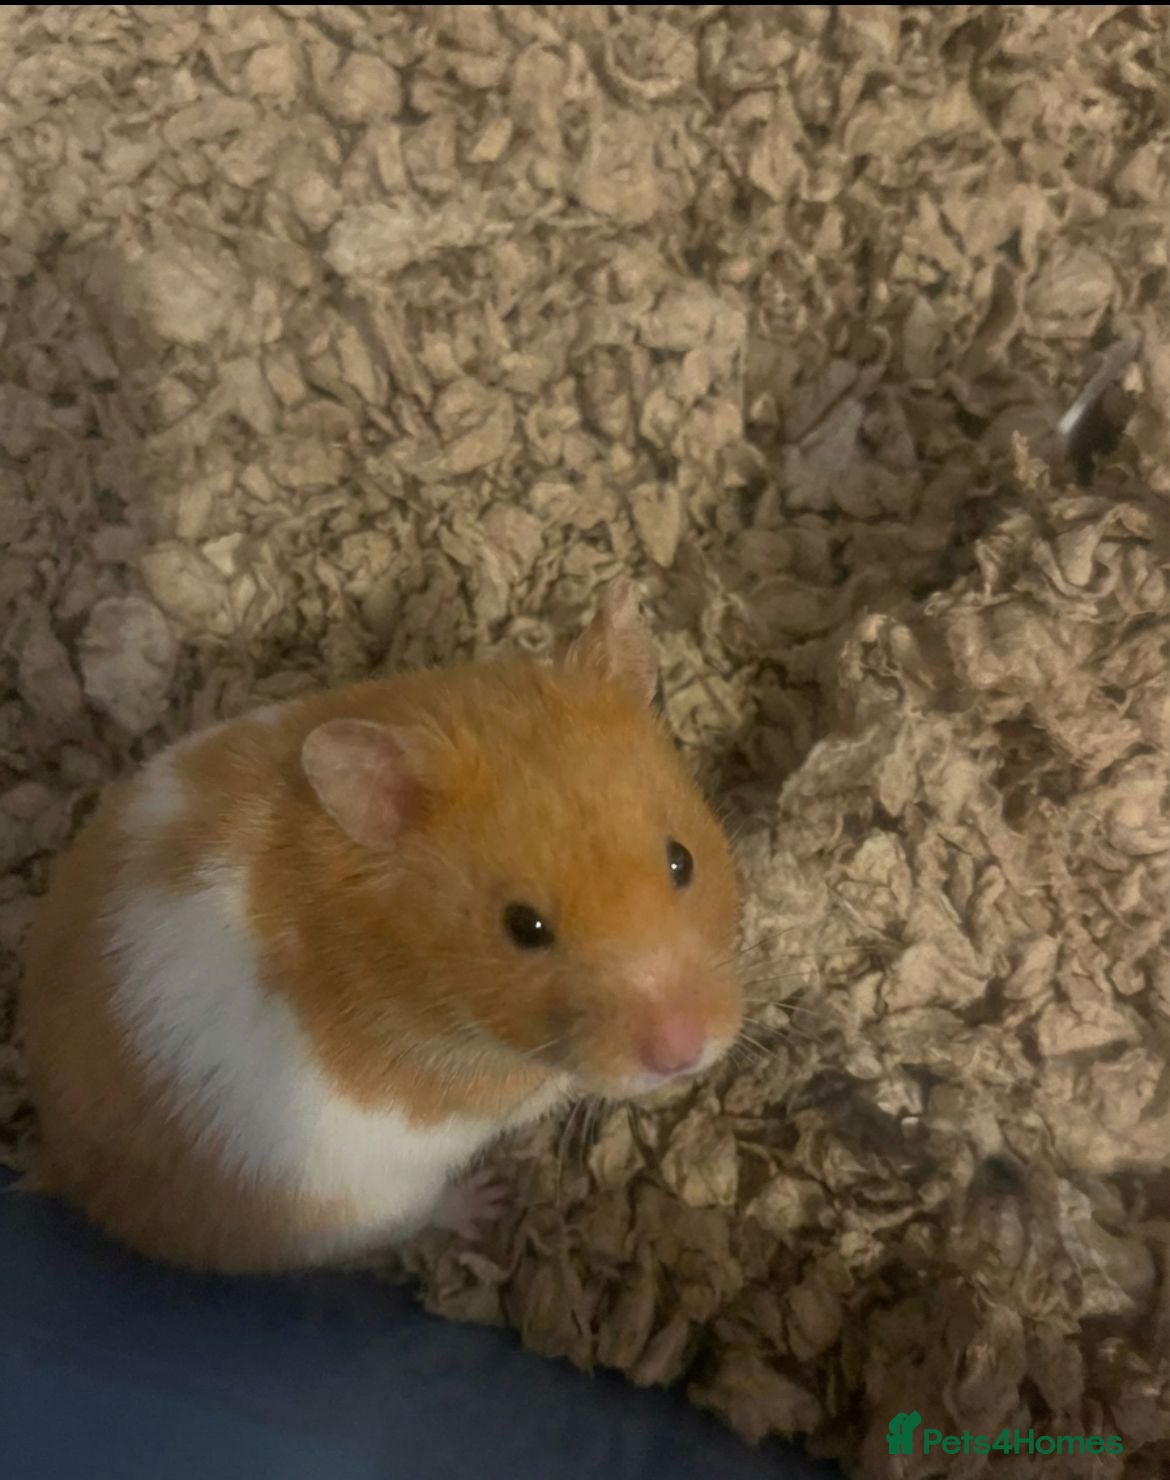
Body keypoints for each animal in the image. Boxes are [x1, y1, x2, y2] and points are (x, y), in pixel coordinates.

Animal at [20, 583, 742, 1273]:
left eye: (682, 860)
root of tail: (61, 1164)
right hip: (375, 1203)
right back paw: (484, 1203)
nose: (685, 1051)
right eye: (524, 926)